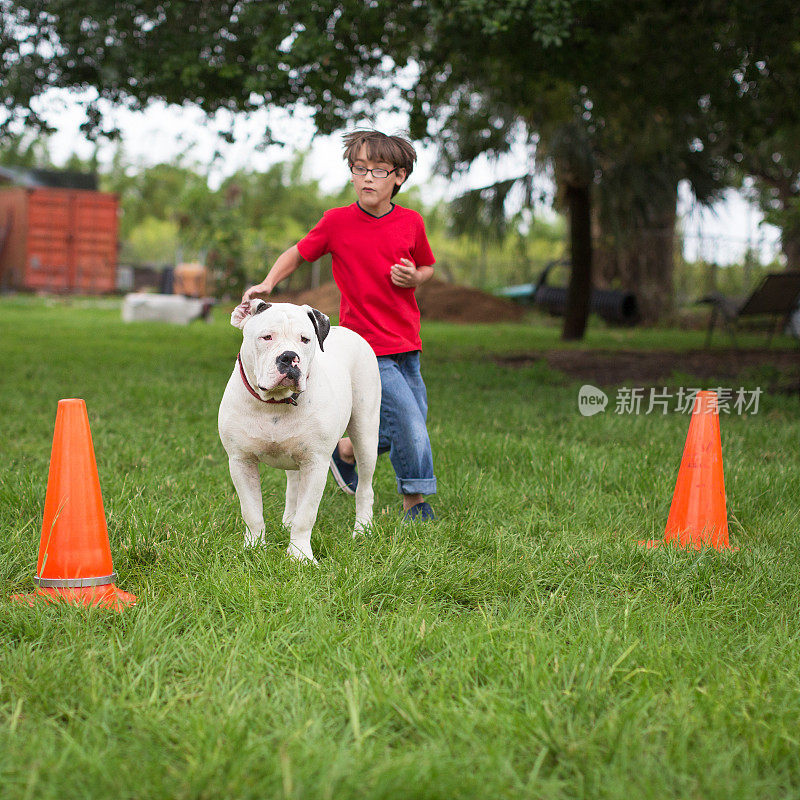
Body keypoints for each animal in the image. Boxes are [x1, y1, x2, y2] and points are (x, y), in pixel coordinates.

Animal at [219, 300, 382, 564]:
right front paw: (254, 548)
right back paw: (287, 521)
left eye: (305, 339)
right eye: (267, 337)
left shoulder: (316, 463)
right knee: (293, 485)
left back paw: (362, 529)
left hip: (365, 434)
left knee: (365, 488)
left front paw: (300, 555)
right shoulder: (241, 462)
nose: (289, 356)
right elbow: (252, 511)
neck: (275, 403)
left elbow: (306, 516)